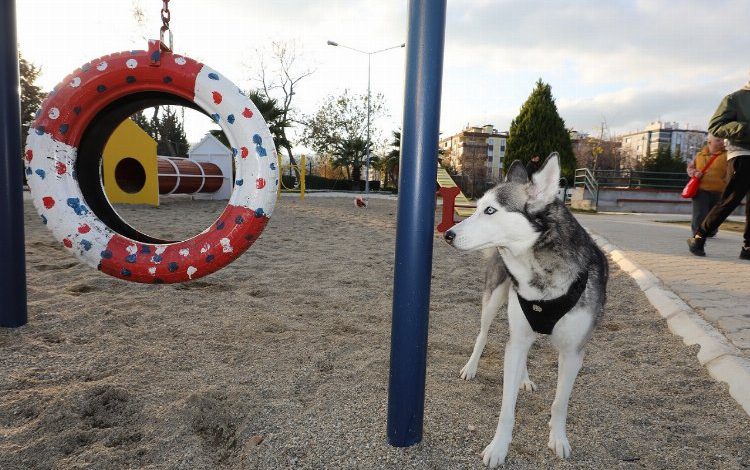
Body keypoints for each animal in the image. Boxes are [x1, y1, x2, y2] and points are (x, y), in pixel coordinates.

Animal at [444, 154, 608, 466]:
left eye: (490, 210)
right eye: (477, 206)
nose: (448, 234)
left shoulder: (573, 353)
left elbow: (560, 403)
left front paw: (558, 438)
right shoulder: (518, 336)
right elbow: (507, 408)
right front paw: (498, 447)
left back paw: (524, 378)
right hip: (494, 300)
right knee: (483, 335)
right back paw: (472, 367)